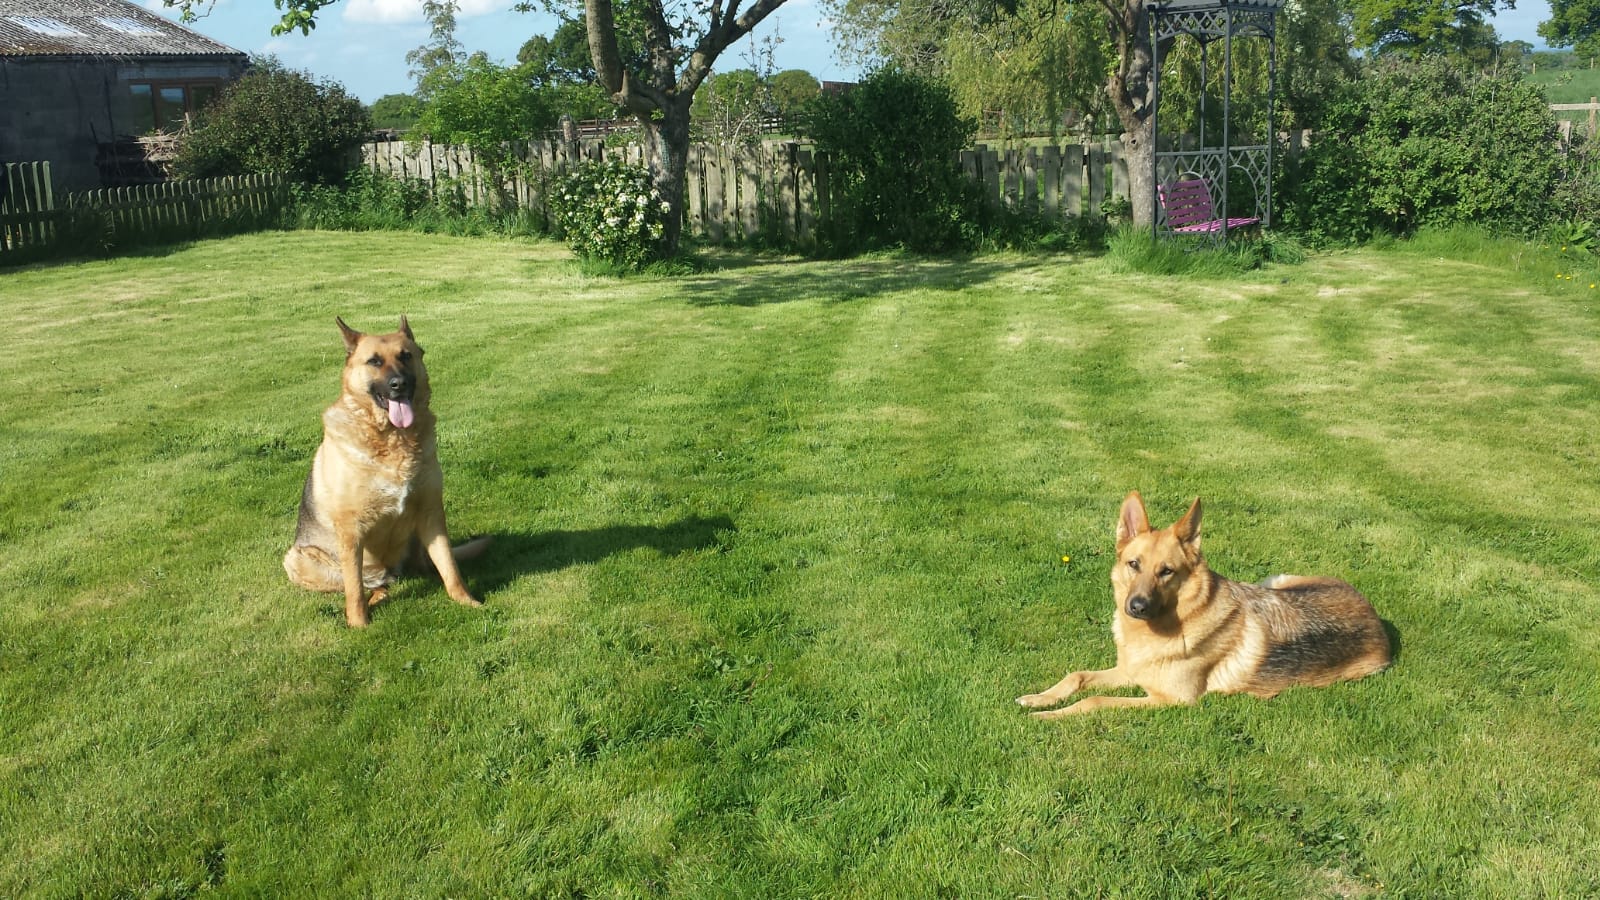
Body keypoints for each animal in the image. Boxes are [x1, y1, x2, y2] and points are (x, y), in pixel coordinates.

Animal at [283, 316, 486, 628]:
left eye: (406, 356)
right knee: (366, 584)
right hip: (299, 559)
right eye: (374, 361)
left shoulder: (430, 513)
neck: (392, 439)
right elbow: (354, 589)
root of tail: (390, 571)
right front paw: (358, 625)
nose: (398, 385)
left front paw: (467, 601)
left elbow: (449, 567)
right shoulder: (351, 530)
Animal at [1017, 492, 1390, 717]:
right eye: (1133, 564)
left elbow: (1092, 700)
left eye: (1166, 571)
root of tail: (1375, 616)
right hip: (1275, 581)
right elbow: (1077, 676)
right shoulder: (1128, 672)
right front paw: (1040, 698)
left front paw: (1049, 715)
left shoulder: (1168, 700)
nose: (1135, 607)